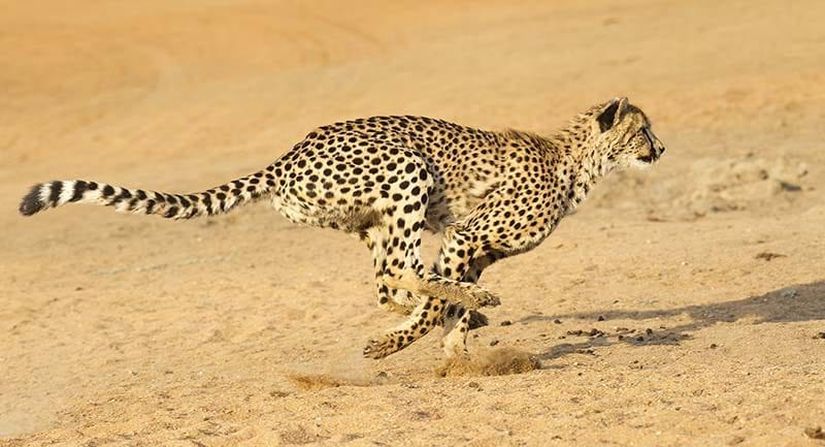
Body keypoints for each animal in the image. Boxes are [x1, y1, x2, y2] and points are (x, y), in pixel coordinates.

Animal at [17, 97, 664, 360]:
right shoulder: (463, 239)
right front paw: (408, 343)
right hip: (407, 173)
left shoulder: (474, 250)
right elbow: (440, 299)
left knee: (385, 280)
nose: (661, 149)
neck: (576, 162)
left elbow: (443, 304)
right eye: (643, 130)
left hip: (371, 218)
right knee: (401, 270)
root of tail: (290, 152)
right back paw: (445, 312)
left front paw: (458, 346)